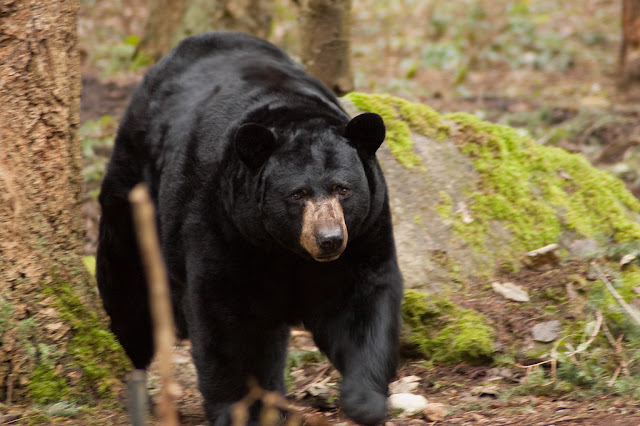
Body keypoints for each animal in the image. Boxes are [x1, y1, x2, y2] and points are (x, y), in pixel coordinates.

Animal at [97, 31, 402, 424]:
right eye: (298, 194)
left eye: (343, 189)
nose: (329, 240)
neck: (287, 251)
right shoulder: (224, 224)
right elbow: (226, 317)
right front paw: (242, 408)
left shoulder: (365, 230)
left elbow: (361, 300)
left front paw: (365, 400)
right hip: (136, 191)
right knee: (129, 288)